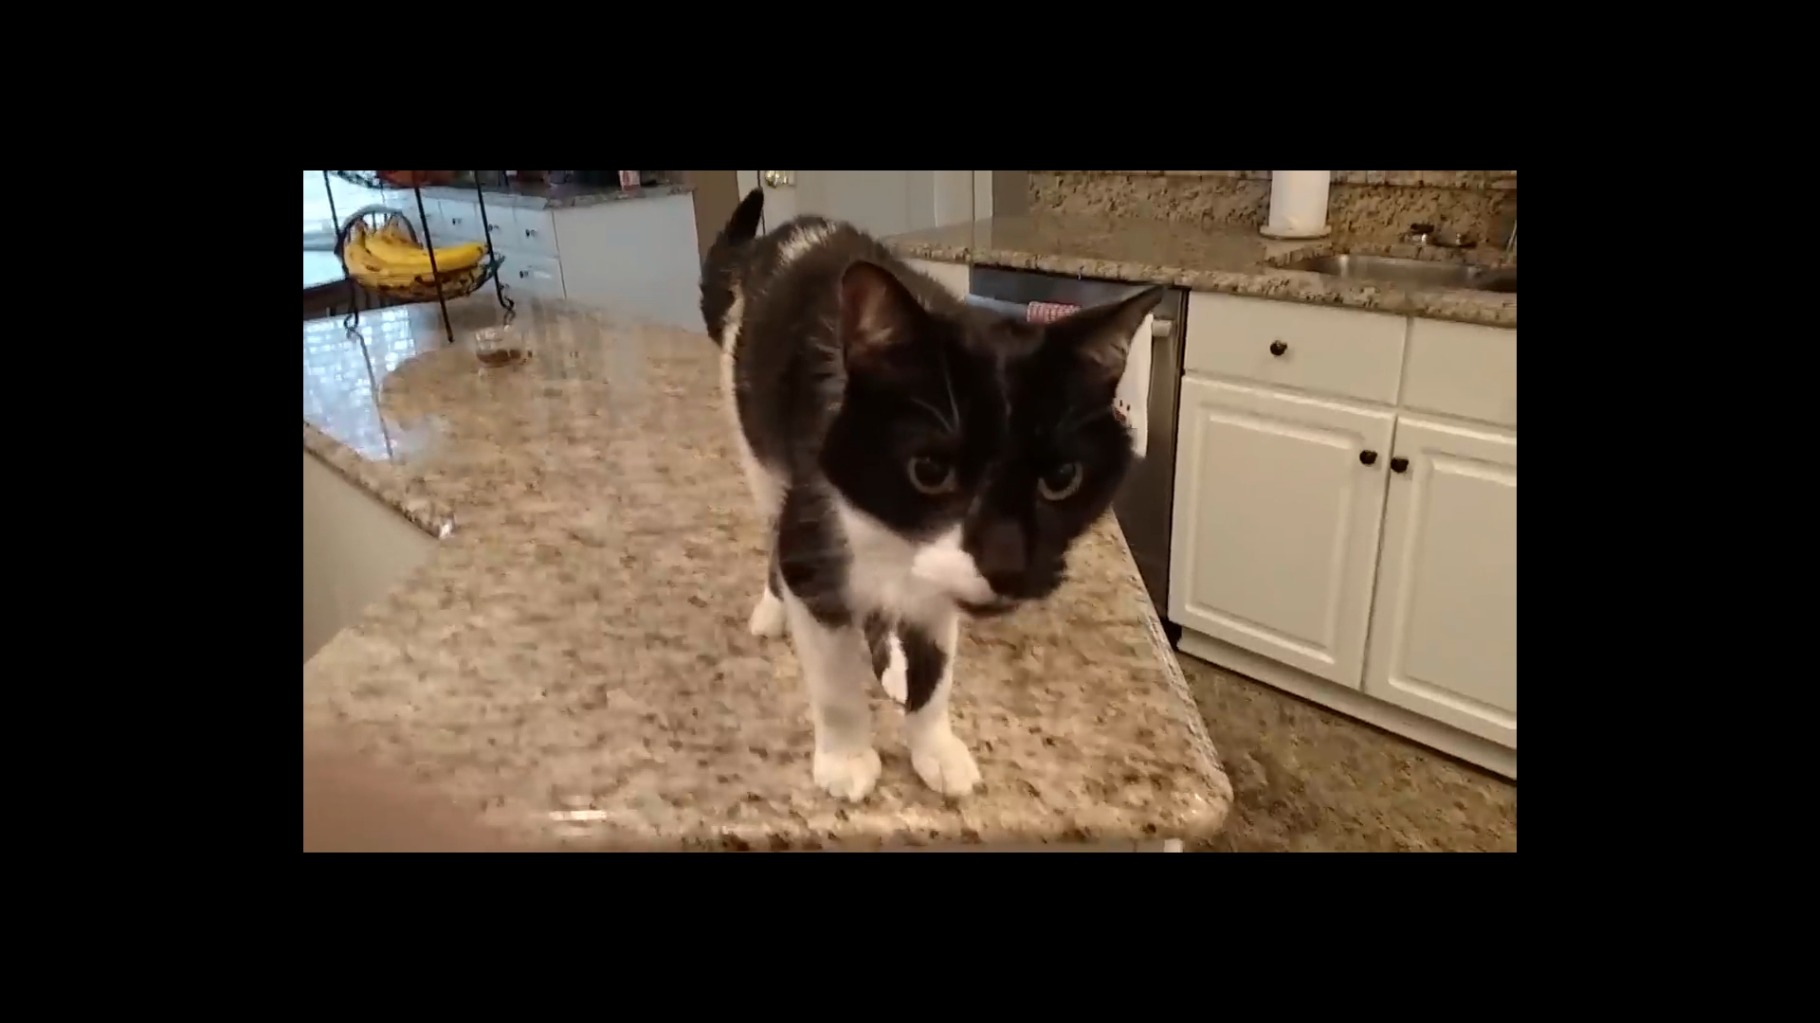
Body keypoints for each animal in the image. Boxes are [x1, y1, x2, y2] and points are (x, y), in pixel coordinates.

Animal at [700, 188, 1163, 802]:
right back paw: (774, 608)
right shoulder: (818, 522)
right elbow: (833, 671)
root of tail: (790, 233)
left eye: (1062, 478)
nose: (1009, 566)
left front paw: (934, 747)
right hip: (754, 438)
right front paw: (846, 758)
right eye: (929, 470)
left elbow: (936, 665)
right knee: (772, 524)